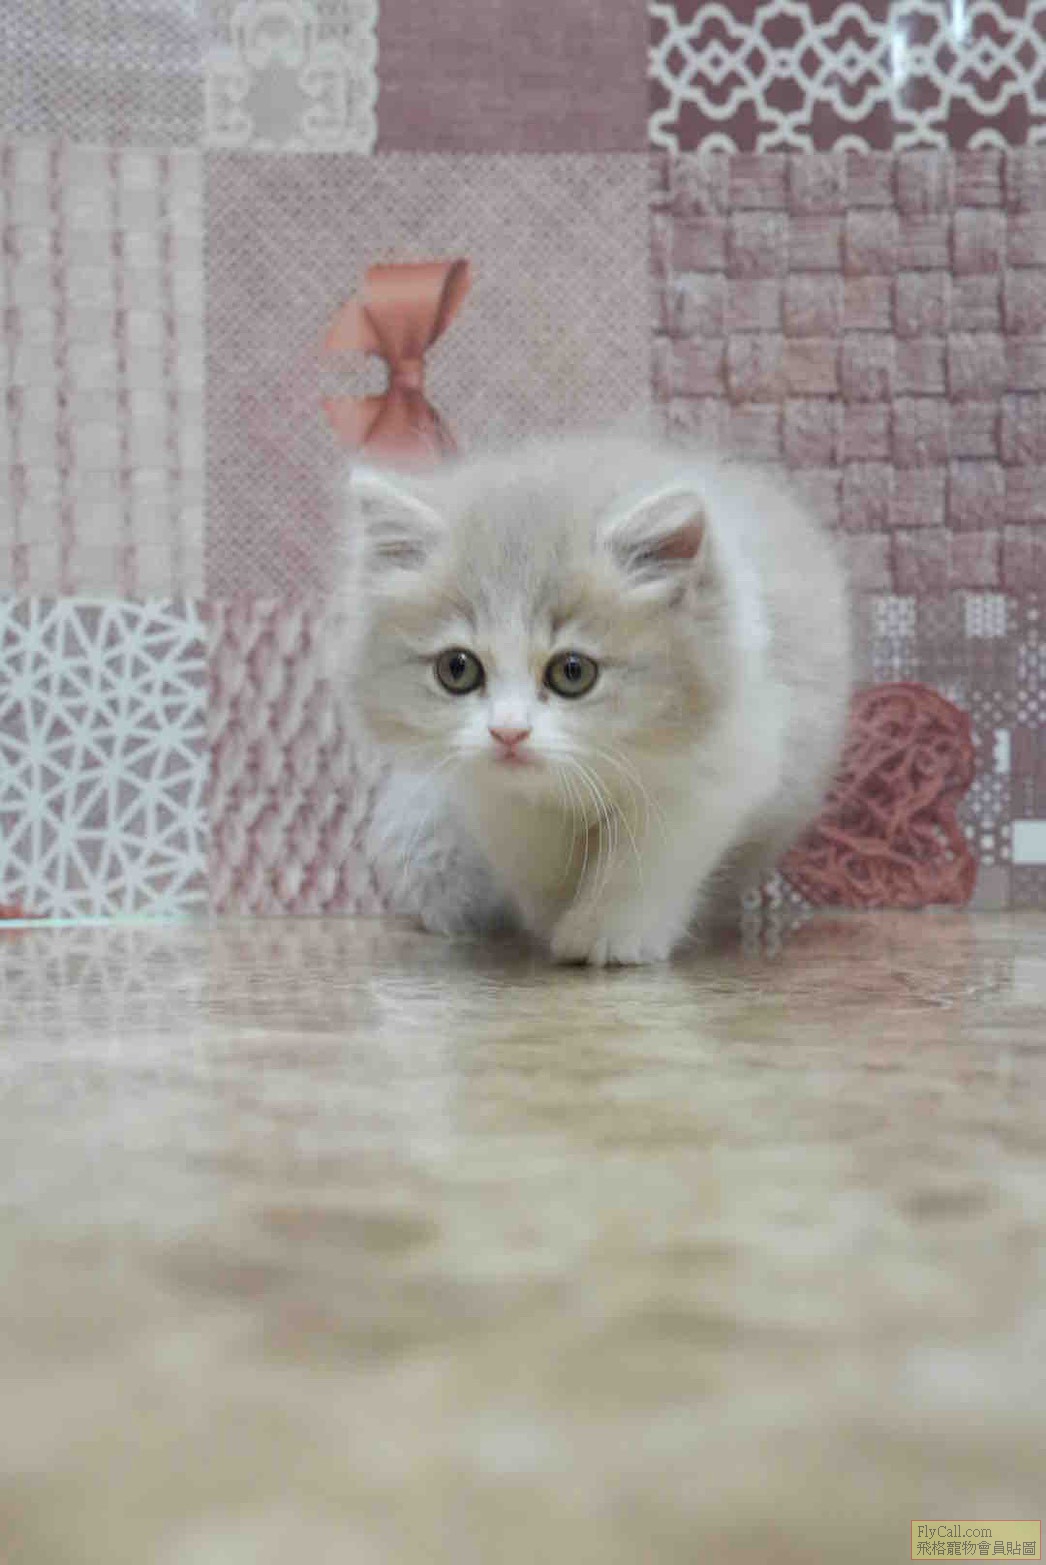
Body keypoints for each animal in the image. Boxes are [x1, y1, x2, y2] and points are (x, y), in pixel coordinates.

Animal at [337, 433, 851, 966]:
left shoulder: (716, 771)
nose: (507, 732)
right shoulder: (491, 796)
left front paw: (607, 935)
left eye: (573, 672)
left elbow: (645, 863)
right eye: (457, 669)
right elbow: (535, 858)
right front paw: (553, 916)